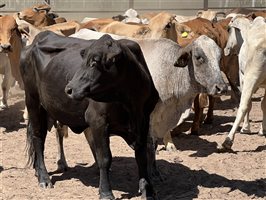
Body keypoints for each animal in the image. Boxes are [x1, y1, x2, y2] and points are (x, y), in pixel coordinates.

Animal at [21, 31, 158, 200]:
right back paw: (43, 178)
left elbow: (142, 156)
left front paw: (147, 190)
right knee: (38, 138)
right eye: (84, 60)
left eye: (94, 62)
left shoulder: (144, 121)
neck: (131, 103)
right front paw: (105, 192)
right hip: (33, 101)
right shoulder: (98, 121)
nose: (69, 89)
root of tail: (40, 37)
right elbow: (104, 158)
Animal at [221, 16, 264, 150]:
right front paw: (262, 130)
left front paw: (245, 128)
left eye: (229, 29)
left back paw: (228, 140)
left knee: (243, 105)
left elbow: (248, 104)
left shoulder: (243, 77)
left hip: (251, 77)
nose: (226, 49)